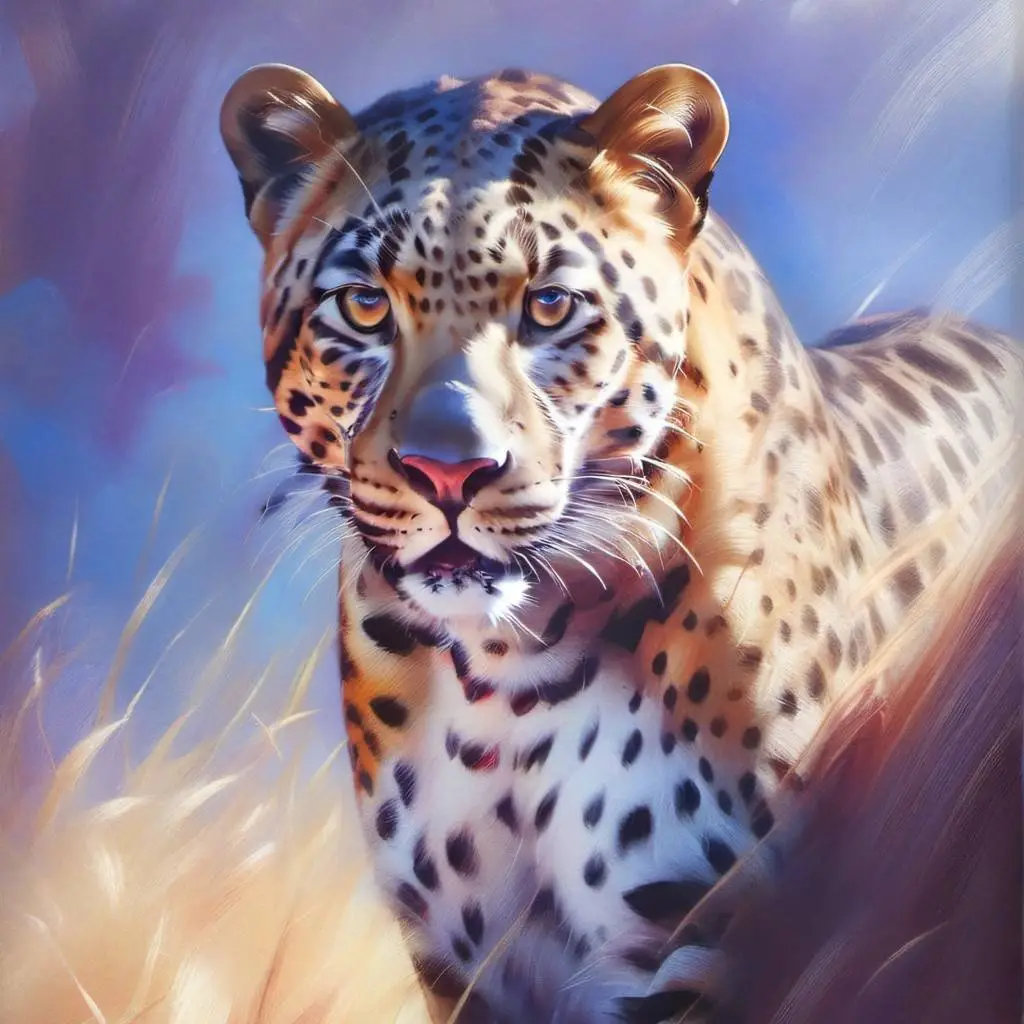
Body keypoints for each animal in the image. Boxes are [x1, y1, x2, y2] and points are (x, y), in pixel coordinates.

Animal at [219, 61, 1022, 1023]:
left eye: (550, 306)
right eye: (366, 306)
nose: (447, 471)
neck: (505, 681)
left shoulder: (693, 940)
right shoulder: (463, 964)